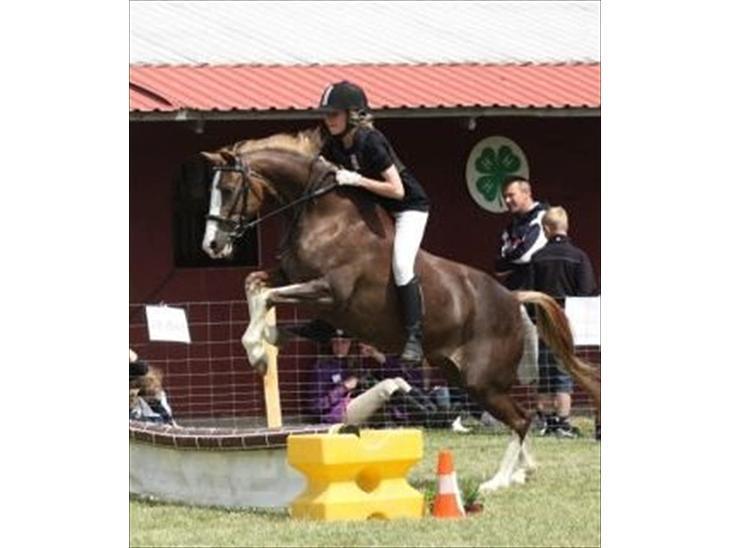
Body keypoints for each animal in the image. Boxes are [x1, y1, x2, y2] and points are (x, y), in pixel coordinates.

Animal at [199, 131, 596, 494]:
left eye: (230, 189)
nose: (212, 245)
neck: (323, 216)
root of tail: (513, 299)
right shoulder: (295, 280)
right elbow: (255, 285)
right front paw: (264, 344)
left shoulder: (329, 290)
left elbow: (266, 296)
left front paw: (256, 349)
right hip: (458, 375)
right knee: (520, 419)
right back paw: (522, 472)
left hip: (481, 380)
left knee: (521, 419)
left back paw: (496, 481)